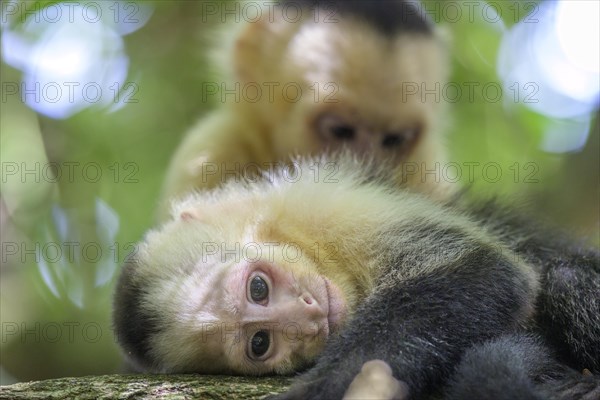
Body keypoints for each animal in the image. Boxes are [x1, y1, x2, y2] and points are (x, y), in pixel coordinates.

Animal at [113, 156, 600, 400]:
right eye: (260, 343)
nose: (308, 318)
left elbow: (487, 271)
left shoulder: (316, 202)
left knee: (564, 278)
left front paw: (320, 389)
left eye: (258, 288)